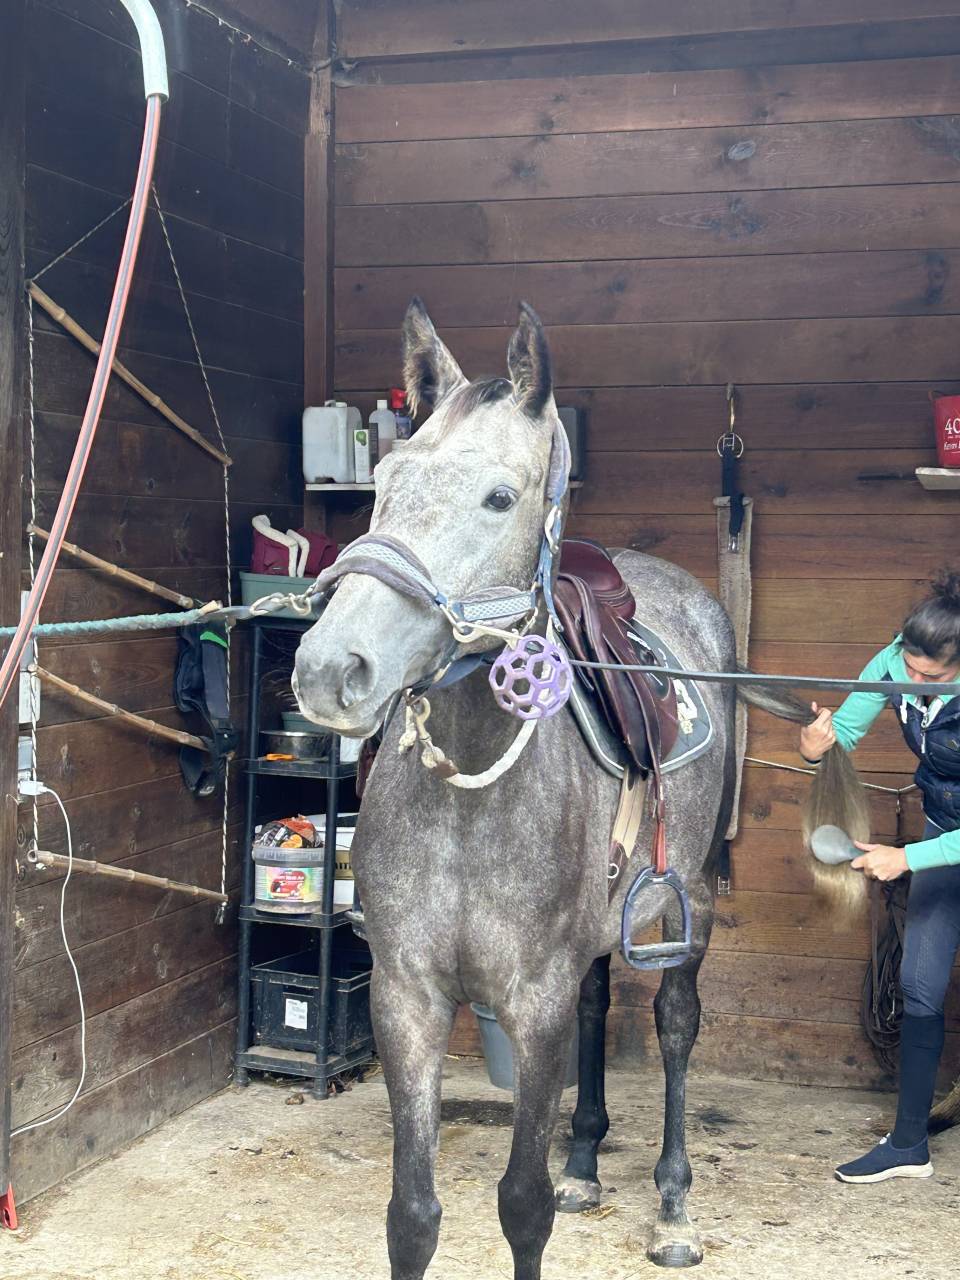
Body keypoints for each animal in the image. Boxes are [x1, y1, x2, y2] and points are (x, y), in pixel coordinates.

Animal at [292, 299, 820, 1279]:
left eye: (500, 497)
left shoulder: (531, 1002)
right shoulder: (406, 997)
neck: (470, 803)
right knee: (598, 1003)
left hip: (688, 904)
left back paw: (673, 1205)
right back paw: (585, 1159)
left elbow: (521, 1207)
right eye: (384, 481)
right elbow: (412, 1214)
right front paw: (565, 1164)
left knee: (677, 1024)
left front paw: (586, 1191)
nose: (330, 670)